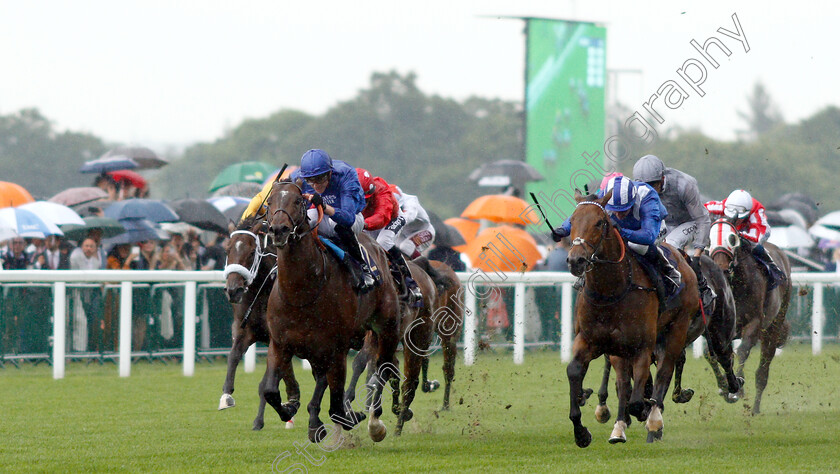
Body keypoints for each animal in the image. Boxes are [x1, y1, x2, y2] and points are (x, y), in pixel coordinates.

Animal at [221, 217, 300, 432]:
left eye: (250, 252)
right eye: (227, 250)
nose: (233, 290)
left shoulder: (277, 338)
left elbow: (266, 383)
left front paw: (259, 420)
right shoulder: (246, 331)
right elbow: (233, 356)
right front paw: (226, 395)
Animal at [266, 179, 404, 444]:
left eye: (298, 200)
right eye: (269, 202)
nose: (279, 230)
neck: (302, 293)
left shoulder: (337, 347)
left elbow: (337, 405)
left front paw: (347, 418)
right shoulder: (281, 344)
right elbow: (269, 391)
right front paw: (292, 410)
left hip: (387, 326)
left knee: (383, 367)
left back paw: (376, 423)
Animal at [568, 190, 700, 448]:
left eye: (600, 222)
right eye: (572, 220)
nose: (575, 260)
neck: (610, 292)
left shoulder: (641, 346)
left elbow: (639, 399)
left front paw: (646, 412)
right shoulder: (591, 340)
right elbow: (574, 371)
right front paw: (581, 432)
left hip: (676, 329)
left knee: (665, 371)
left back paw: (654, 420)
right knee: (625, 382)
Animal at [704, 220, 792, 412]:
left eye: (732, 239)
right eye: (709, 239)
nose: (721, 268)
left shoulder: (754, 322)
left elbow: (742, 351)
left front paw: (738, 389)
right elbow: (710, 354)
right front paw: (724, 386)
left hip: (774, 325)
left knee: (762, 373)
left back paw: (755, 409)